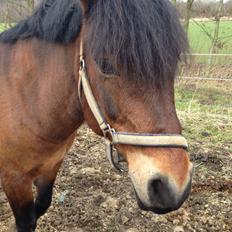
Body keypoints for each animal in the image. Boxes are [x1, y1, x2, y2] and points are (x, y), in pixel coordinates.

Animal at [0, 0, 194, 231]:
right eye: (105, 65)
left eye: (173, 62)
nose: (173, 186)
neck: (27, 98)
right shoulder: (14, 179)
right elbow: (26, 220)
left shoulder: (51, 165)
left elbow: (42, 206)